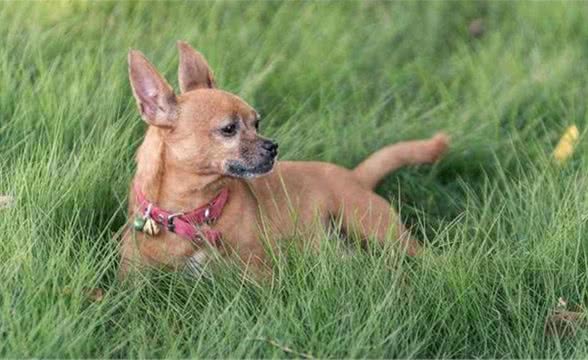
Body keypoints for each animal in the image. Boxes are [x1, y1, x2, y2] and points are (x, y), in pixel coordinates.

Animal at [120, 40, 450, 278]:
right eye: (229, 129)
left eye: (257, 123)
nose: (273, 147)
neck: (192, 213)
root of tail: (355, 175)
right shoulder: (132, 280)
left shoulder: (258, 274)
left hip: (378, 230)